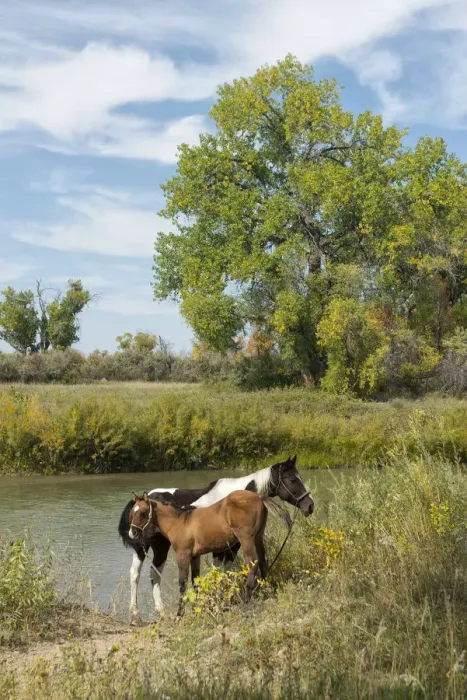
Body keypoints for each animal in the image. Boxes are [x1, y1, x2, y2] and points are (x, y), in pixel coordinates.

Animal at [128, 489, 292, 616]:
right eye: (131, 512)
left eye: (143, 512)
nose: (132, 533)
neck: (179, 522)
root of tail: (258, 496)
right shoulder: (195, 556)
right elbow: (195, 581)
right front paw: (196, 609)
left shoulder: (182, 555)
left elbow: (182, 584)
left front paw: (180, 614)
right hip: (258, 537)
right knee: (264, 561)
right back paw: (267, 590)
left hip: (246, 539)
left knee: (252, 563)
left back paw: (247, 600)